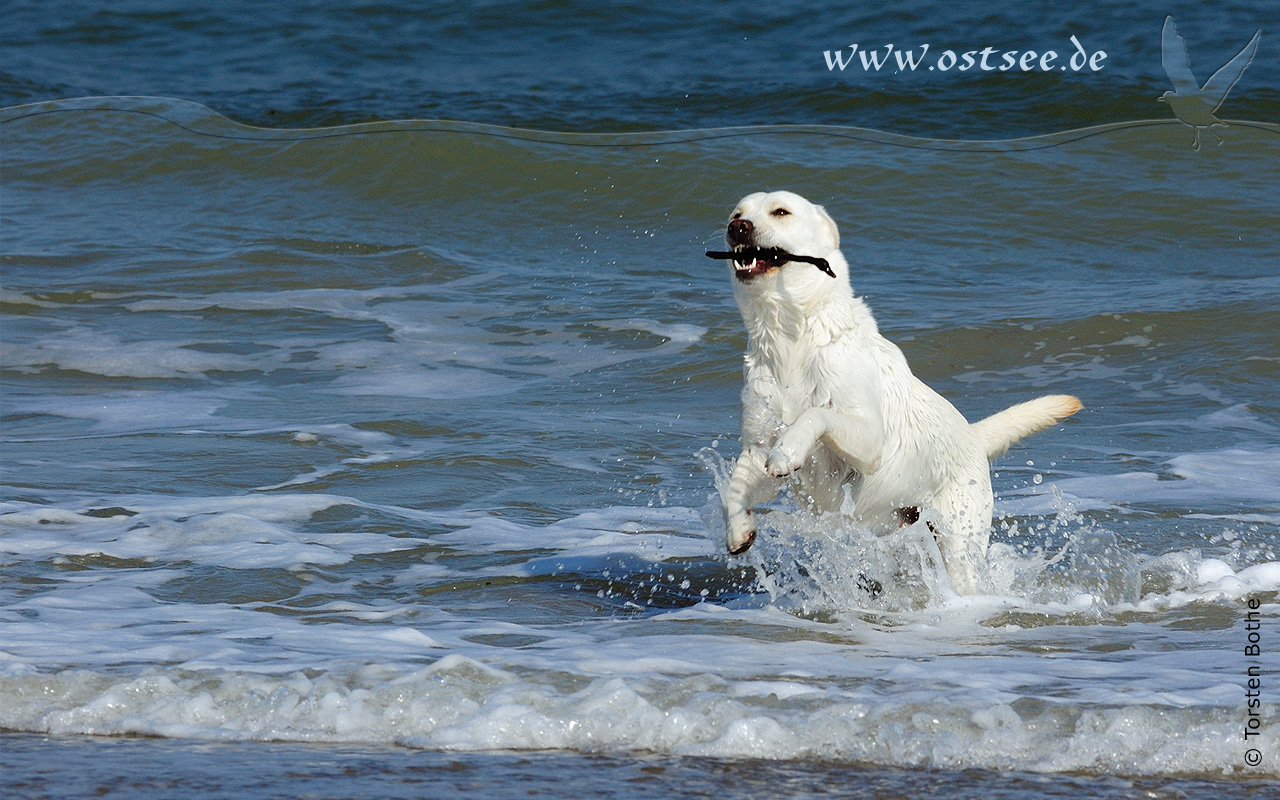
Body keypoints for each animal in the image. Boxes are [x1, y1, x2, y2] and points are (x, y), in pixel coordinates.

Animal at [721, 192, 1080, 593]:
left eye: (780, 212)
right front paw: (739, 530)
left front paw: (788, 451)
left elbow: (815, 414)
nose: (737, 228)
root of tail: (973, 435)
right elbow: (733, 487)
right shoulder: (757, 445)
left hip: (959, 541)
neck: (790, 340)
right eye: (736, 213)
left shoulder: (868, 440)